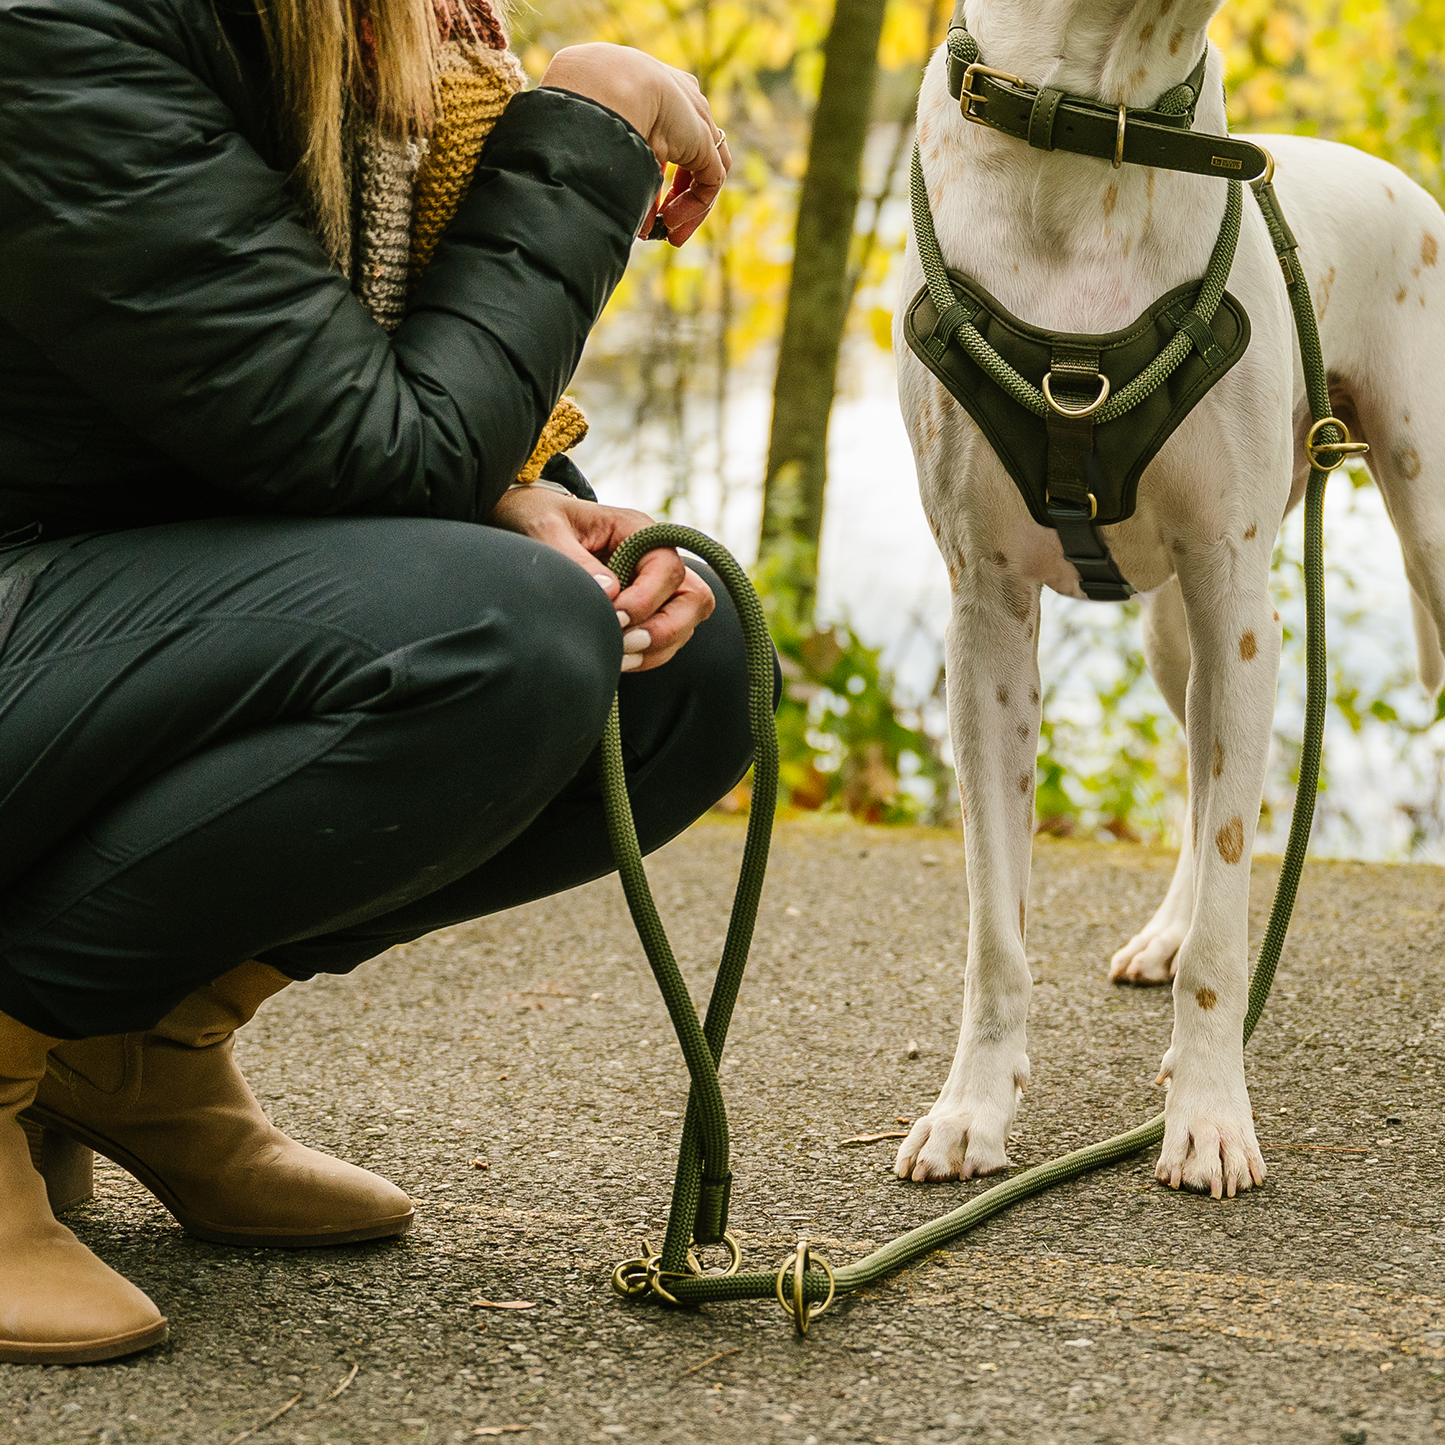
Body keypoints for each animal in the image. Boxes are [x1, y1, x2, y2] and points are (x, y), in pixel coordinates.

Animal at [895, 0, 1439, 1196]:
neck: (1096, 129)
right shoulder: (985, 615)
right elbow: (994, 928)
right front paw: (970, 1110)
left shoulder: (1238, 601)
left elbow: (1229, 928)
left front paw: (1207, 1116)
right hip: (1173, 635)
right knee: (1196, 780)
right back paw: (1161, 931)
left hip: (1420, 536)